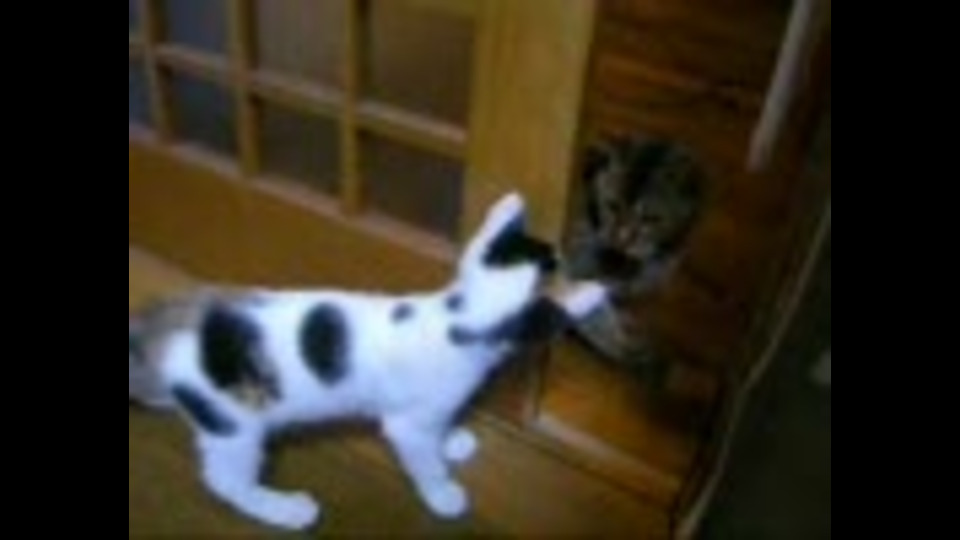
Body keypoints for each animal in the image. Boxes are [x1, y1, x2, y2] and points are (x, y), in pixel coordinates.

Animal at [128, 193, 609, 531]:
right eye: (559, 265)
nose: (576, 261)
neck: (453, 319)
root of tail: (163, 329)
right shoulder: (407, 425)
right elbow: (422, 458)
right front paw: (443, 493)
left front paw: (450, 440)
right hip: (234, 424)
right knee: (224, 479)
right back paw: (283, 509)